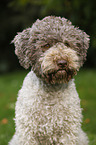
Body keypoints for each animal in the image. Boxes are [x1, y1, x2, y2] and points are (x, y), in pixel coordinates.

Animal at [8, 16, 89, 145]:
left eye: (67, 44)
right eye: (46, 45)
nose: (62, 62)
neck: (51, 90)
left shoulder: (68, 132)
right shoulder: (28, 132)